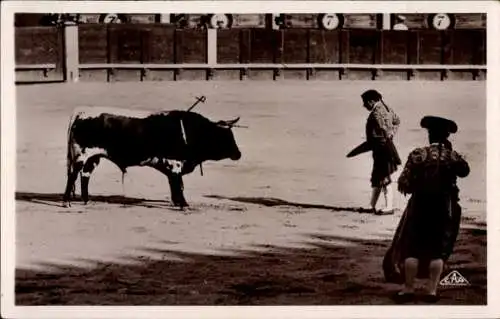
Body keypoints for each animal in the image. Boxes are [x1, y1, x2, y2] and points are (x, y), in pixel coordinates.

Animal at [63, 106, 243, 209]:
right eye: (224, 137)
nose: (238, 154)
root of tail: (81, 112)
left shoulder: (172, 168)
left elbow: (175, 185)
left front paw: (177, 202)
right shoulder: (175, 164)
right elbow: (179, 185)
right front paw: (184, 204)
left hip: (93, 158)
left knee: (85, 176)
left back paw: (86, 200)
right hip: (81, 156)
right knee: (73, 177)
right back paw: (66, 202)